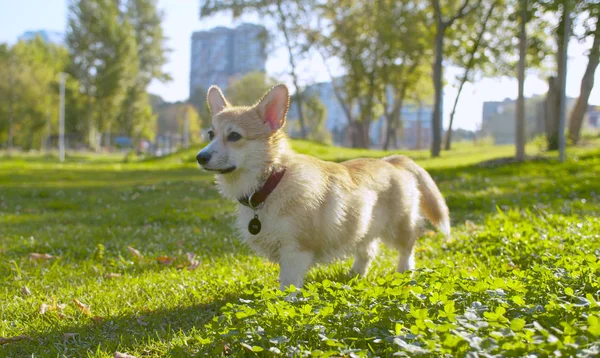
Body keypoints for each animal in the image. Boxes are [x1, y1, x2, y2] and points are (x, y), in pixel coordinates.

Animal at [197, 84, 450, 290]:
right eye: (210, 134)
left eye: (234, 136)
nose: (200, 157)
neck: (271, 182)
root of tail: (392, 161)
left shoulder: (295, 250)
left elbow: (289, 283)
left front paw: (283, 305)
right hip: (364, 226)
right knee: (367, 251)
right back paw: (355, 274)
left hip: (399, 226)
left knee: (407, 247)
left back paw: (404, 272)